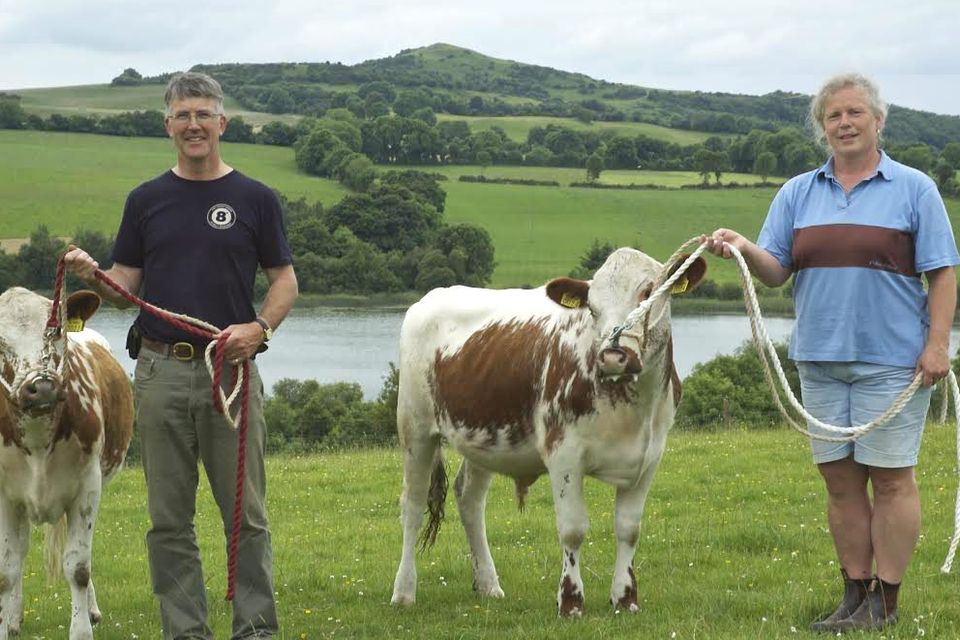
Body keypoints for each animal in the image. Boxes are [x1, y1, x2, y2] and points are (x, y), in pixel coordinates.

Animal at [0, 288, 133, 636]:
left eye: (56, 330)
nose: (41, 387)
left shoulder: (87, 489)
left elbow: (79, 567)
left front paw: (82, 629)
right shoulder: (4, 496)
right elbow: (7, 568)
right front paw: (5, 623)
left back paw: (92, 609)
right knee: (21, 550)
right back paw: (13, 616)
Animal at [390, 246, 704, 616]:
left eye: (647, 293)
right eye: (591, 308)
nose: (612, 357)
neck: (628, 409)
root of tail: (432, 296)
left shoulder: (648, 458)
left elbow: (629, 529)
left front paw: (625, 598)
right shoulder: (564, 454)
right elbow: (573, 530)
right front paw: (570, 601)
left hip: (482, 438)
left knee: (470, 499)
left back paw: (488, 584)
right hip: (416, 428)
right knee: (412, 504)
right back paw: (404, 591)